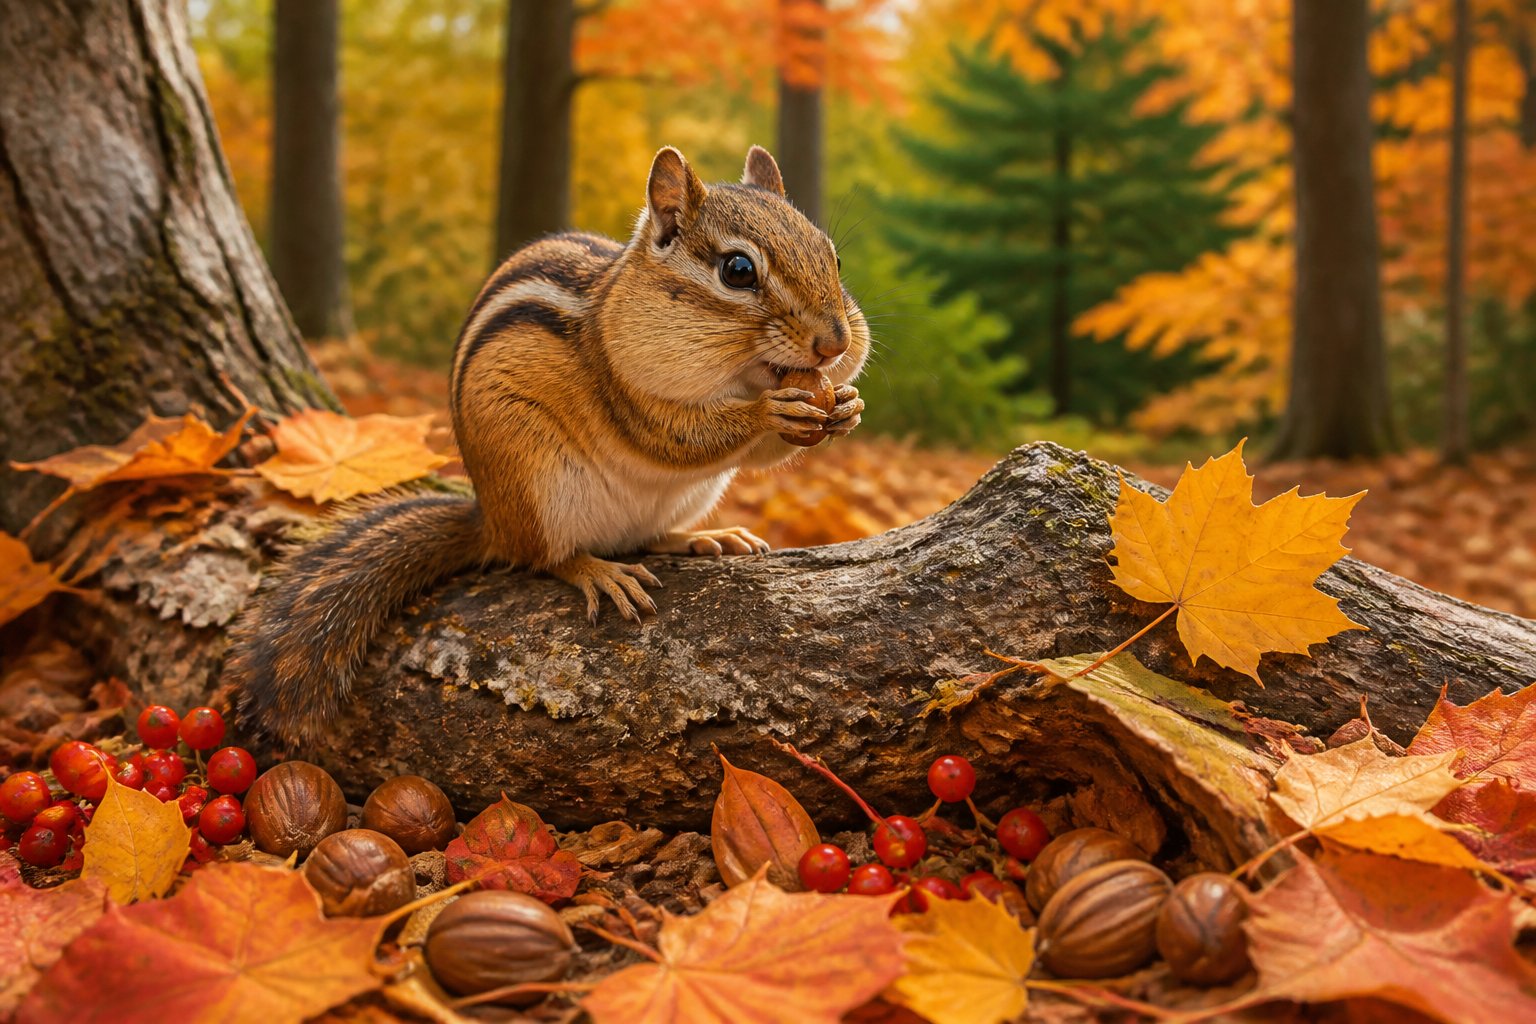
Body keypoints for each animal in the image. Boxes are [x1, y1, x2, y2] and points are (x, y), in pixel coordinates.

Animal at [226, 145, 870, 744]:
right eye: (738, 270)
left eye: (834, 256)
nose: (835, 343)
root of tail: (491, 520)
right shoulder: (624, 389)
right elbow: (677, 436)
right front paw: (770, 411)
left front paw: (847, 404)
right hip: (537, 482)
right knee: (544, 557)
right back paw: (597, 571)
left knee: (645, 537)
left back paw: (702, 538)